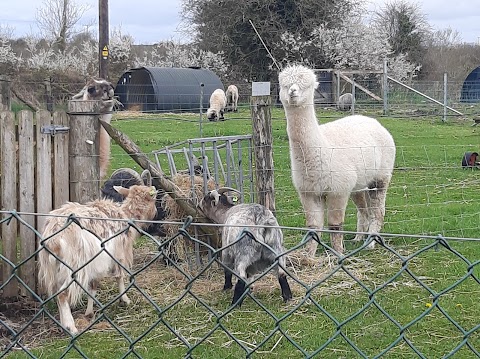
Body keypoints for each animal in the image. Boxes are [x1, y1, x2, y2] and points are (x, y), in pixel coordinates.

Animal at [38, 172, 158, 334]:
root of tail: (53, 237)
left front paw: (89, 312)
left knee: (57, 292)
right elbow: (119, 276)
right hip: (74, 266)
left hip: (53, 267)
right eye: (154, 198)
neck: (126, 215)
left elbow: (92, 286)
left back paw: (63, 324)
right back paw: (71, 327)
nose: (156, 213)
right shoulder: (118, 253)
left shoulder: (96, 263)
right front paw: (125, 300)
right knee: (63, 293)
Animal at [278, 64, 398, 256]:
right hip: (360, 183)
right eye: (284, 85)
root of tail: (374, 122)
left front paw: (338, 253)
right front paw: (309, 256)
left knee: (378, 211)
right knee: (364, 210)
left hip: (381, 176)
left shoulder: (338, 190)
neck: (321, 150)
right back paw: (358, 238)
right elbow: (313, 226)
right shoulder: (308, 192)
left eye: (306, 85)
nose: (292, 92)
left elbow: (335, 225)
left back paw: (371, 242)